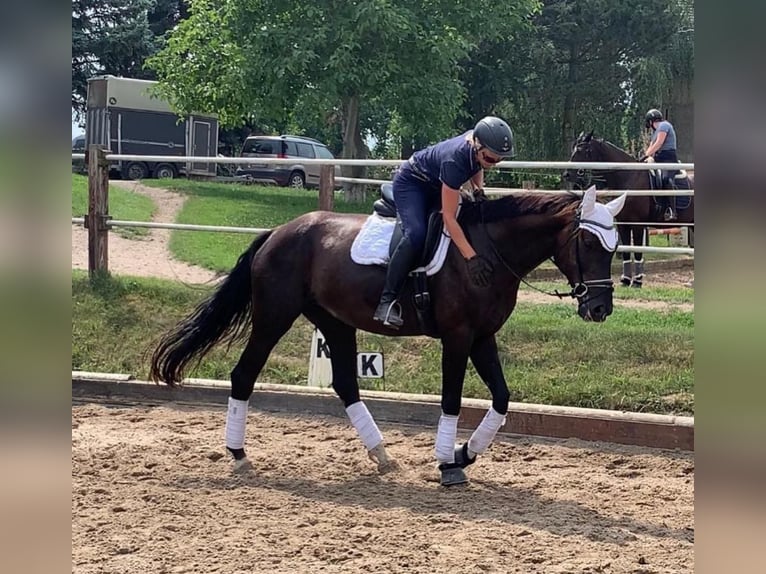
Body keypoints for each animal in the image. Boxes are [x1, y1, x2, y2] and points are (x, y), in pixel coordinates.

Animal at [149, 186, 627, 486]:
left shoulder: (482, 337)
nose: (600, 309)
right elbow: (451, 399)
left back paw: (380, 454)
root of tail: (279, 232)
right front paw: (447, 463)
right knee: (243, 376)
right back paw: (239, 455)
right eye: (588, 244)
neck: (486, 250)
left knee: (345, 384)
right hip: (274, 318)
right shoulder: (458, 337)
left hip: (335, 322)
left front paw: (464, 453)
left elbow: (502, 398)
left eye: (615, 247)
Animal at [562, 131, 694, 288]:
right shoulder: (623, 223)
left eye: (583, 150)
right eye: (574, 149)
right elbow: (625, 251)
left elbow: (637, 251)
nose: (567, 174)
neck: (628, 177)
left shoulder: (637, 224)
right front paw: (625, 280)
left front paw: (637, 281)